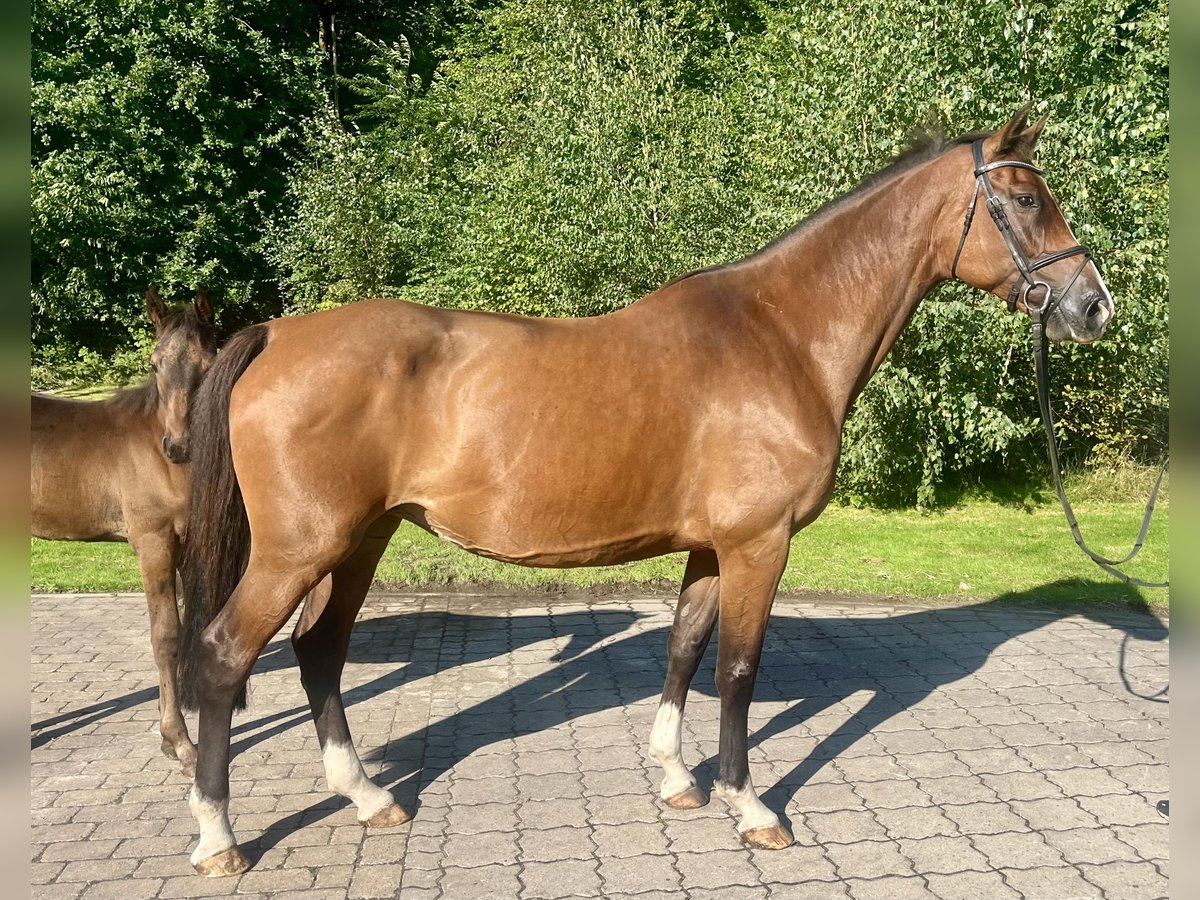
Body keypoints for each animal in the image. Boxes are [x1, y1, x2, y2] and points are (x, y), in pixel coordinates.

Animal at [33, 286, 218, 777]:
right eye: (154, 363)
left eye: (208, 362)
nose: (178, 446)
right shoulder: (152, 543)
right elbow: (165, 637)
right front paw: (182, 744)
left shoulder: (184, 547)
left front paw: (168, 740)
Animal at [177, 109, 1113, 878]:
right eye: (1025, 200)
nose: (1093, 308)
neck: (782, 338)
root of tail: (276, 335)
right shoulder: (758, 543)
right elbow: (737, 668)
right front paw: (751, 806)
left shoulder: (710, 546)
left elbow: (684, 650)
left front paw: (675, 778)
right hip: (301, 549)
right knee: (225, 656)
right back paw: (218, 835)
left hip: (360, 541)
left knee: (319, 650)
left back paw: (368, 797)